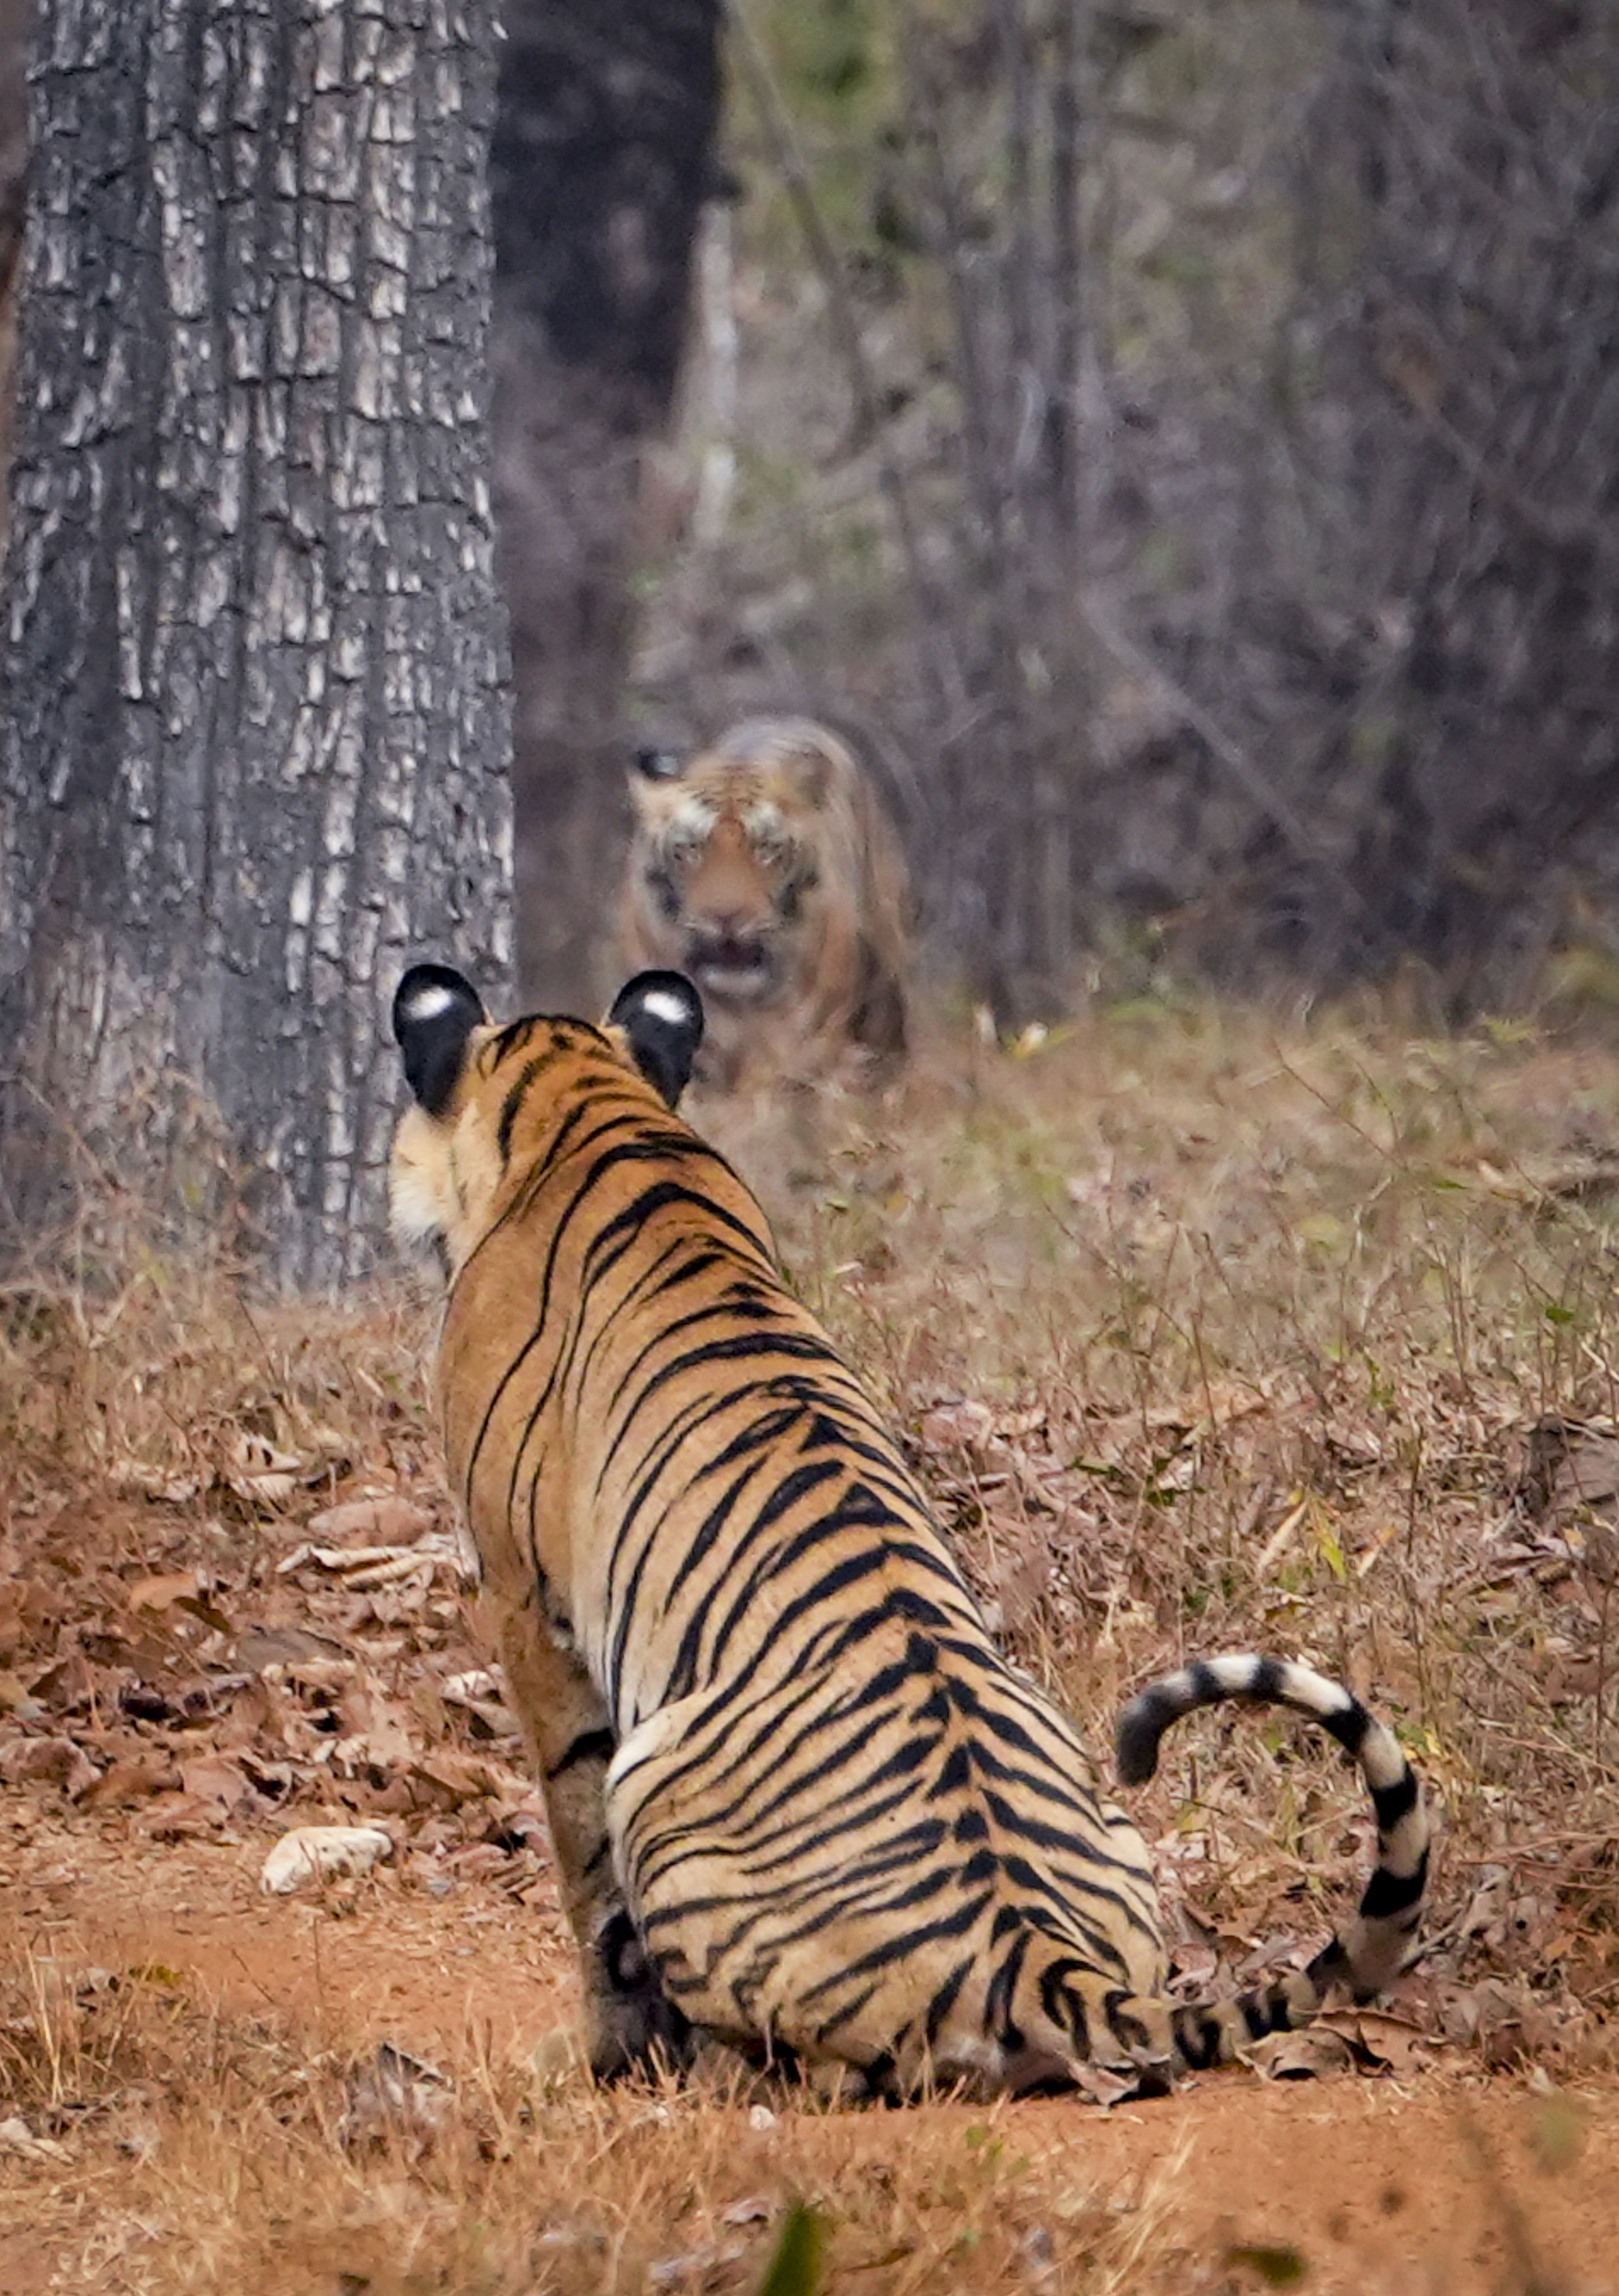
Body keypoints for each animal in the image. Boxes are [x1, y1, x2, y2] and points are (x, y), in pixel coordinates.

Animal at [389, 961, 1430, 2101]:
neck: (587, 1103)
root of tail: (1035, 1950)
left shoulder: (525, 1601)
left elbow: (581, 1870)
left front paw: (595, 2052)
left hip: (657, 1793)